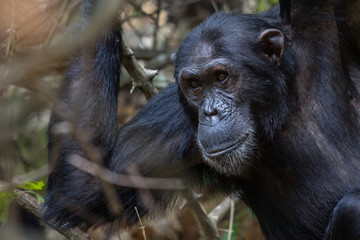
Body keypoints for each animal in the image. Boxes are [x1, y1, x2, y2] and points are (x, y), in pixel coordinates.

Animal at [43, 0, 360, 240]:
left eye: (221, 77)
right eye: (195, 85)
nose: (210, 112)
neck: (279, 109)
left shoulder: (315, 27)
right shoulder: (172, 126)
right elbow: (87, 190)